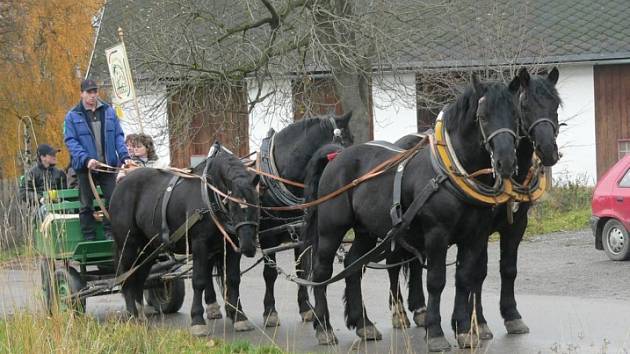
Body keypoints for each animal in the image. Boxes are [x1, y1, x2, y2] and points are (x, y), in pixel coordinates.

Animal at [111, 146, 262, 334]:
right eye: (233, 206)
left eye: (256, 203)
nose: (249, 247)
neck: (209, 195)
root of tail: (121, 184)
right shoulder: (199, 244)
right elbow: (199, 280)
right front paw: (197, 321)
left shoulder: (231, 245)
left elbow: (233, 279)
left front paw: (239, 317)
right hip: (129, 246)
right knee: (127, 277)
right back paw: (132, 316)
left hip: (149, 248)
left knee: (140, 278)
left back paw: (140, 316)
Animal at [201, 113, 354, 326]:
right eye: (346, 141)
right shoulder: (268, 238)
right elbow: (270, 274)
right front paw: (270, 312)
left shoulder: (299, 233)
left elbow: (301, 270)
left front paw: (306, 308)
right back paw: (213, 305)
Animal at [304, 76, 520, 350]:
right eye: (483, 115)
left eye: (515, 113)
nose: (506, 162)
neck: (450, 171)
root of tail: (336, 156)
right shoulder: (437, 235)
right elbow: (436, 281)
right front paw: (435, 332)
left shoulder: (475, 236)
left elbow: (464, 278)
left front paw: (464, 331)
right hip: (331, 229)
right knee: (322, 272)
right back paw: (324, 327)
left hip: (366, 231)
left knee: (353, 266)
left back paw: (364, 324)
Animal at [396, 67, 564, 340]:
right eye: (525, 106)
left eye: (555, 105)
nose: (548, 150)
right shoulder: (481, 229)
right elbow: (478, 271)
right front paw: (479, 323)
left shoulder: (516, 225)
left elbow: (507, 268)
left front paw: (511, 316)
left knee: (414, 262)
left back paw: (420, 310)